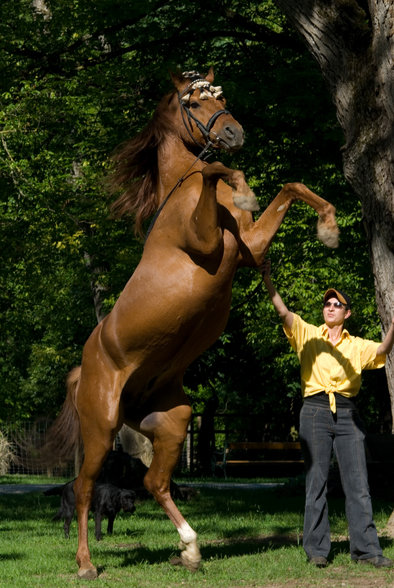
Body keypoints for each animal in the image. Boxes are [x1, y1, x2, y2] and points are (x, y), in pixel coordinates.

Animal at [48, 69, 338, 580]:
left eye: (218, 96)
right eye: (195, 101)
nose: (234, 133)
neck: (178, 196)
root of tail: (85, 369)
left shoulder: (251, 247)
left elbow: (291, 186)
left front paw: (329, 228)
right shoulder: (208, 243)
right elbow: (212, 170)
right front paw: (242, 187)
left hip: (171, 421)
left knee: (155, 481)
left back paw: (190, 548)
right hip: (101, 428)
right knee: (84, 488)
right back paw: (85, 564)